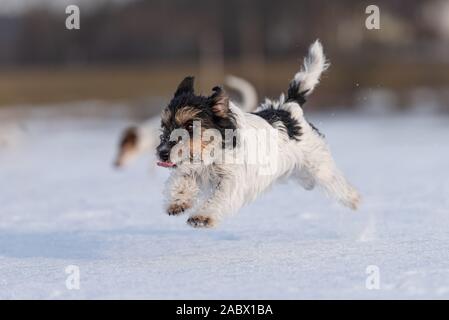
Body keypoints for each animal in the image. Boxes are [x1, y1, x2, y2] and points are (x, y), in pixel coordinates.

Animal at [156, 40, 358, 228]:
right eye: (164, 125)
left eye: (190, 125)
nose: (162, 153)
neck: (214, 152)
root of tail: (288, 108)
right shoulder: (192, 169)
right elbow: (180, 180)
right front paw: (178, 201)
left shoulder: (233, 181)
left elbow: (219, 197)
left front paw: (202, 216)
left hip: (319, 166)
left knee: (336, 182)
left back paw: (354, 199)